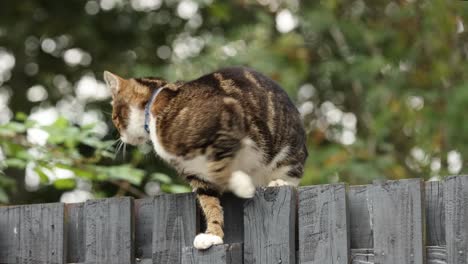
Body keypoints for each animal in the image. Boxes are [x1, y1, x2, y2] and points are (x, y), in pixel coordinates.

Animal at [103, 66, 308, 250]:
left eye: (114, 117)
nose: (120, 137)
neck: (154, 107)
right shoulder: (193, 171)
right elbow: (208, 200)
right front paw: (213, 234)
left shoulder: (229, 119)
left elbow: (219, 167)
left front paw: (241, 184)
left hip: (287, 154)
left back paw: (278, 183)